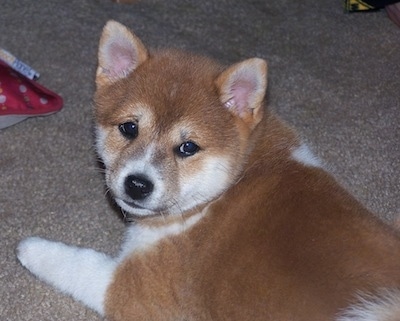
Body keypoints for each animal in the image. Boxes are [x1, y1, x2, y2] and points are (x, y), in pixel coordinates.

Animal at [17, 21, 400, 318]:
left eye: (188, 147)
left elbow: (74, 263)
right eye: (129, 128)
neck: (234, 180)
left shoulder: (133, 288)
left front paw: (30, 248)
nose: (137, 184)